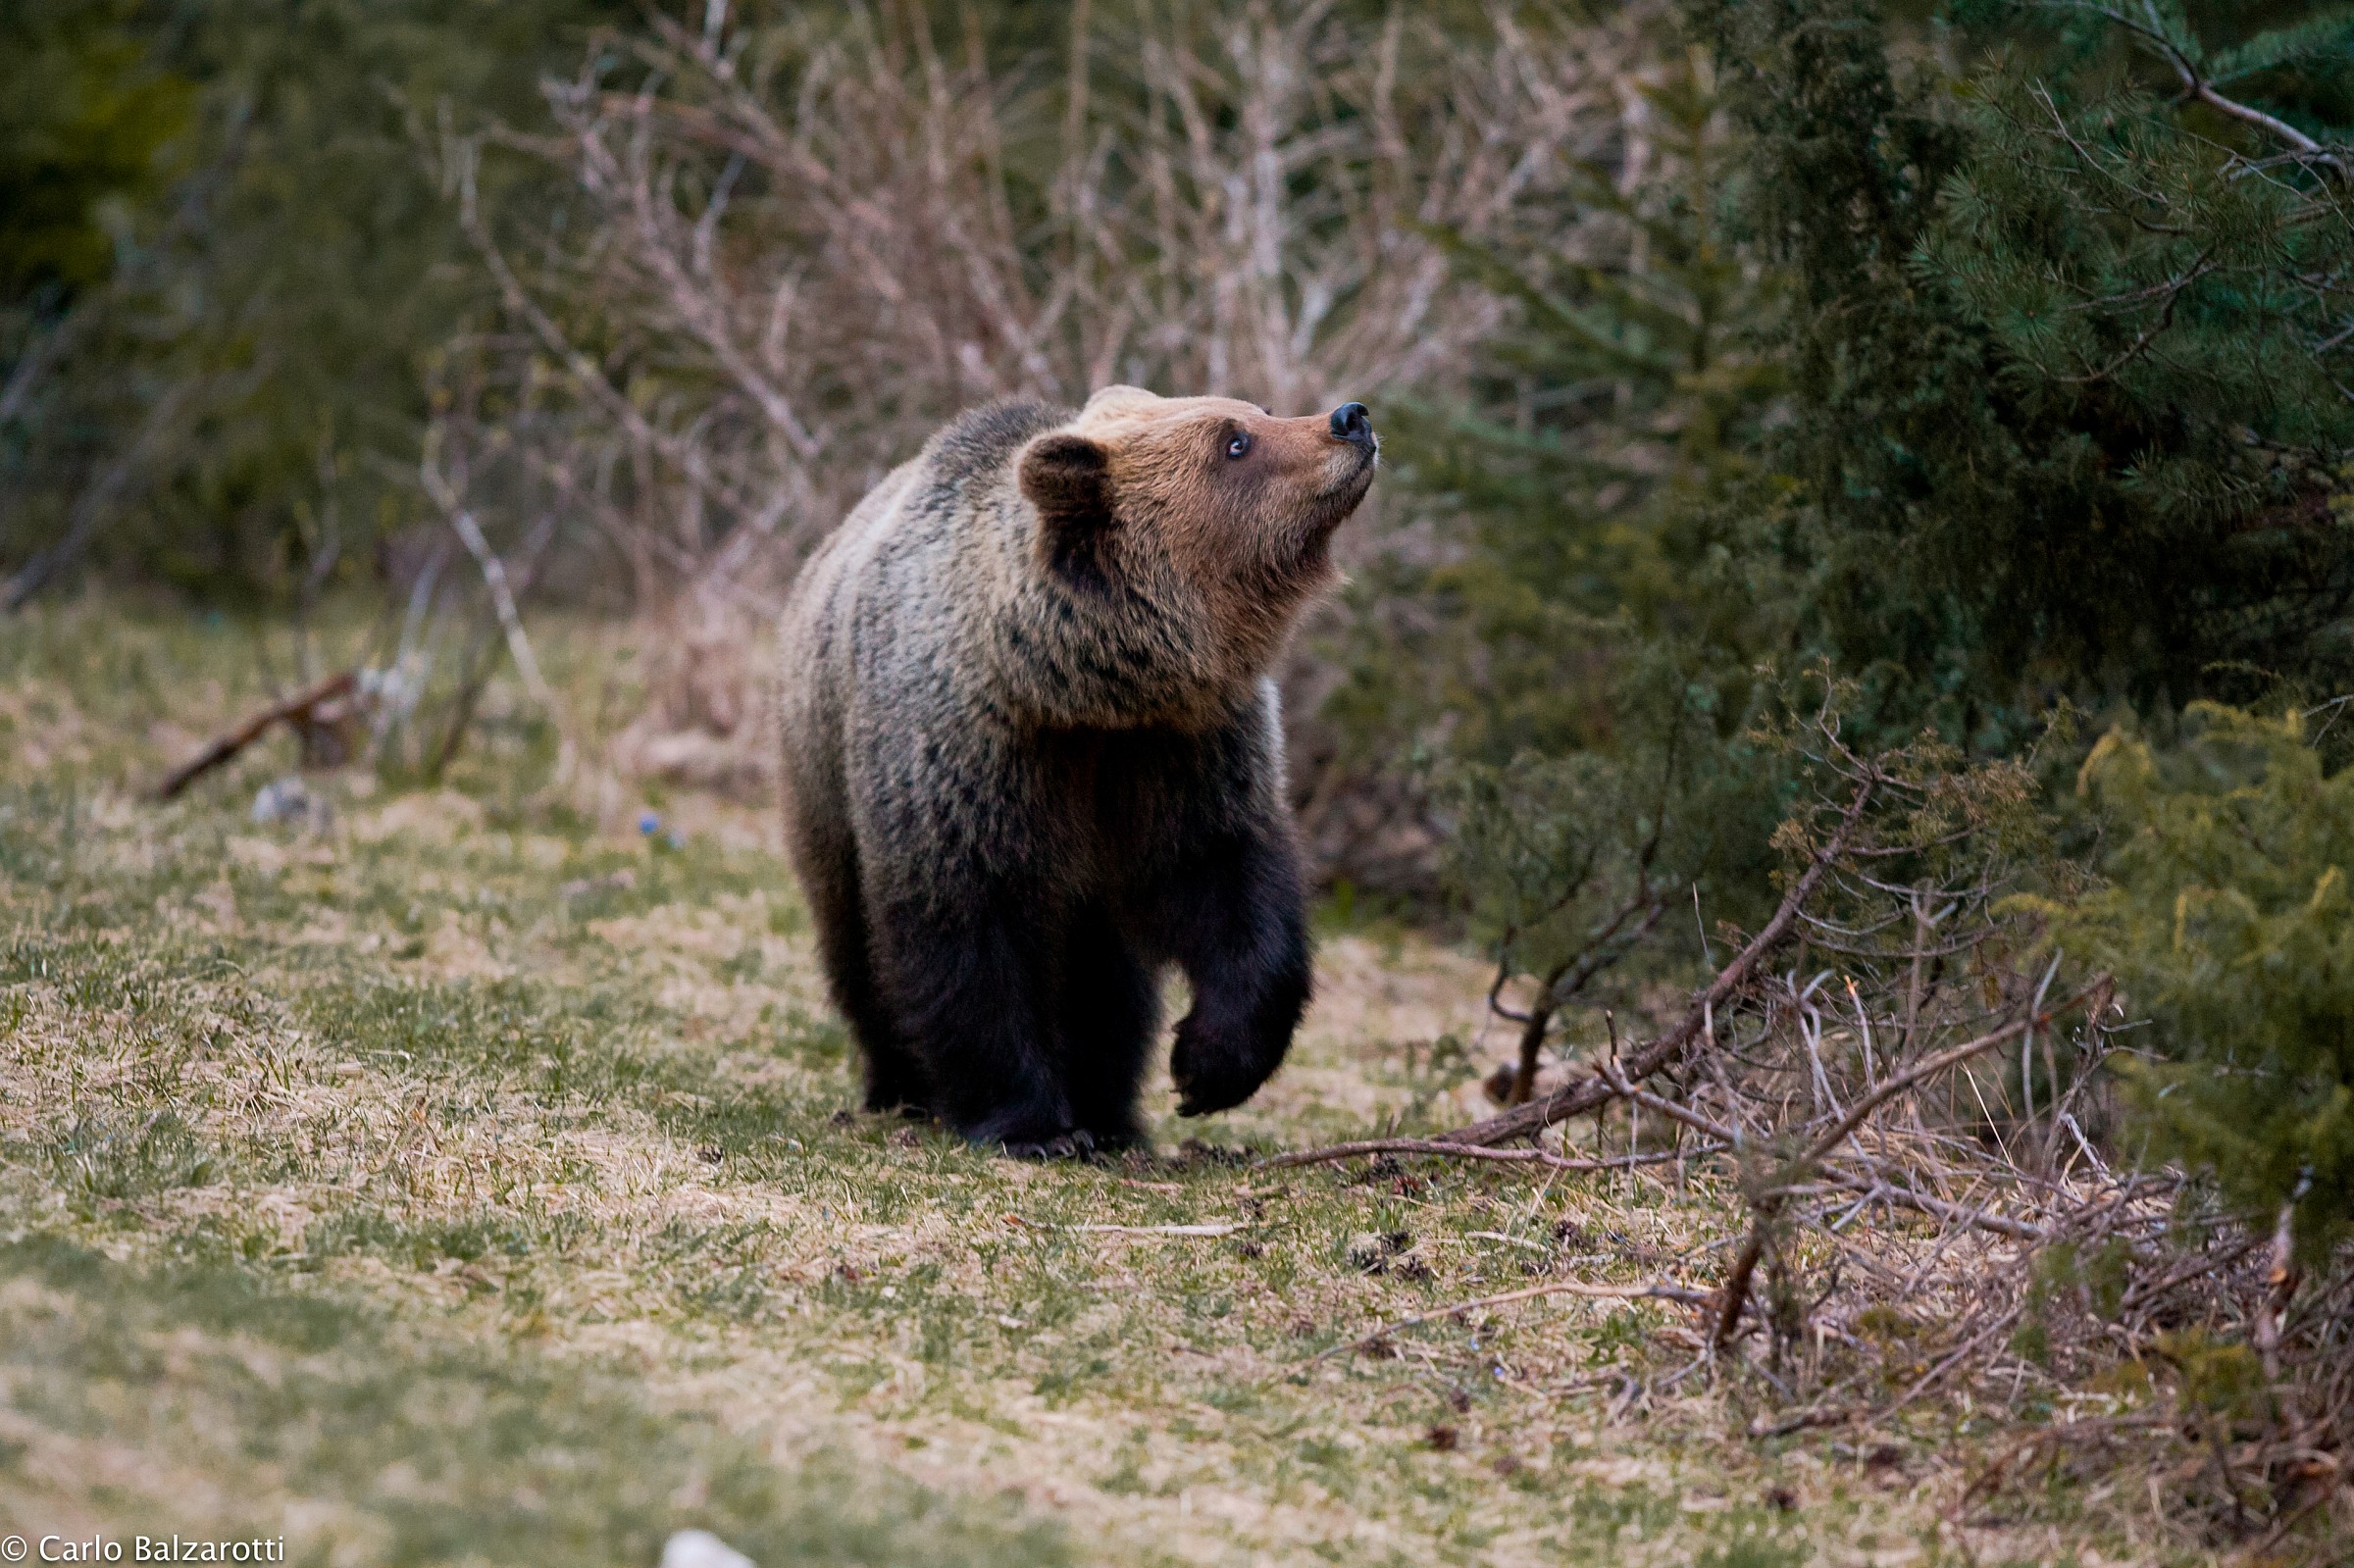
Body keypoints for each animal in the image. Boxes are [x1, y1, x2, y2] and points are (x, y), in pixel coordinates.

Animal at [775, 385, 1379, 1155]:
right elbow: (966, 932)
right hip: (823, 786)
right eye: (1234, 442)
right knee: (856, 950)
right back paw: (903, 1087)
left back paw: (1109, 1112)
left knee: (1108, 982)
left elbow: (1232, 884)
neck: (1080, 693)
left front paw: (1207, 1065)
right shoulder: (968, 754)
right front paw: (1027, 1122)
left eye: (1259, 412)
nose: (1350, 418)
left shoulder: (1182, 749)